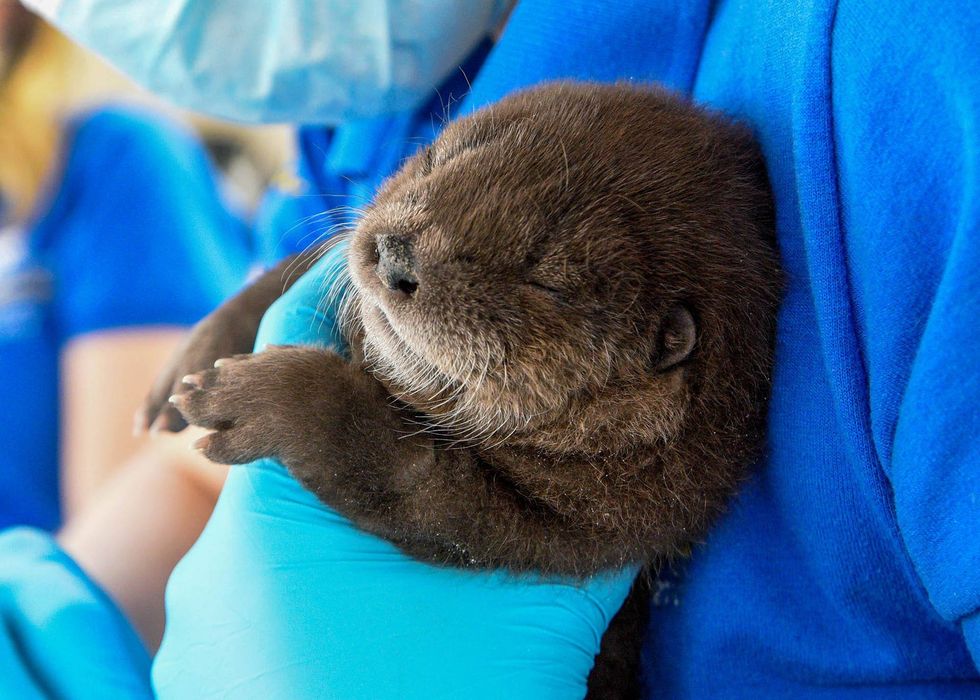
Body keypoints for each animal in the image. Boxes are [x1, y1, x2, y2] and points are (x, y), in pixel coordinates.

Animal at [144, 81, 781, 698]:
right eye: (437, 160)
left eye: (544, 279)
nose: (396, 253)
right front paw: (187, 363)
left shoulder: (593, 519)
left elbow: (399, 472)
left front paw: (260, 398)